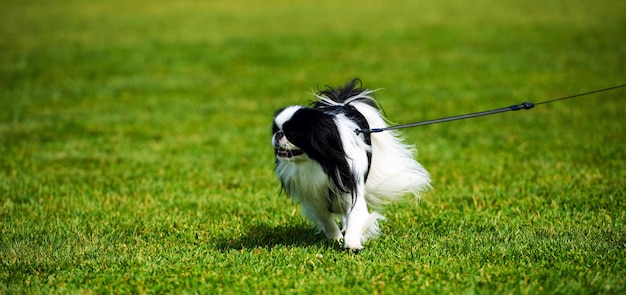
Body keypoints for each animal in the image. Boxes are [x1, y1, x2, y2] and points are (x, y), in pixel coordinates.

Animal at [270, 78, 426, 250]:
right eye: (275, 130)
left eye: (293, 134)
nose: (278, 135)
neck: (319, 163)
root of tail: (344, 103)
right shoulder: (315, 198)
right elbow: (327, 220)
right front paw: (336, 238)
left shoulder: (351, 188)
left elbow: (355, 217)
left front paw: (352, 244)